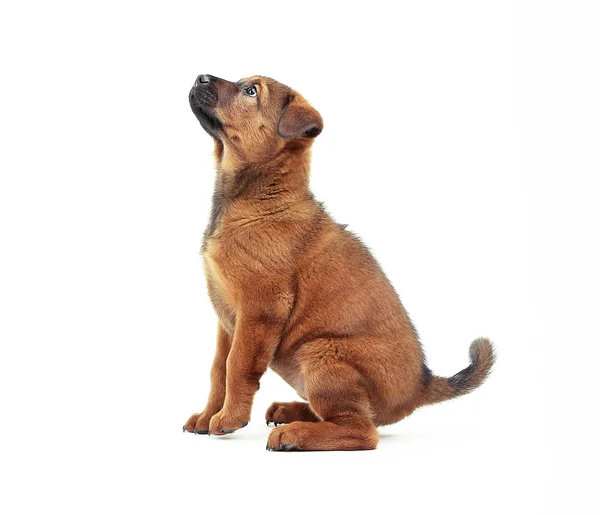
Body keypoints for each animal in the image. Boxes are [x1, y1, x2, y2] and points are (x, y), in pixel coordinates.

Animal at [184, 73, 496, 452]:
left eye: (251, 91)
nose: (200, 76)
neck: (260, 199)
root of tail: (421, 386)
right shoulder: (227, 319)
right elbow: (218, 370)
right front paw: (207, 415)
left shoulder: (259, 310)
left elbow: (237, 366)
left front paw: (228, 419)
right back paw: (292, 412)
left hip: (321, 352)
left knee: (363, 431)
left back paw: (294, 434)